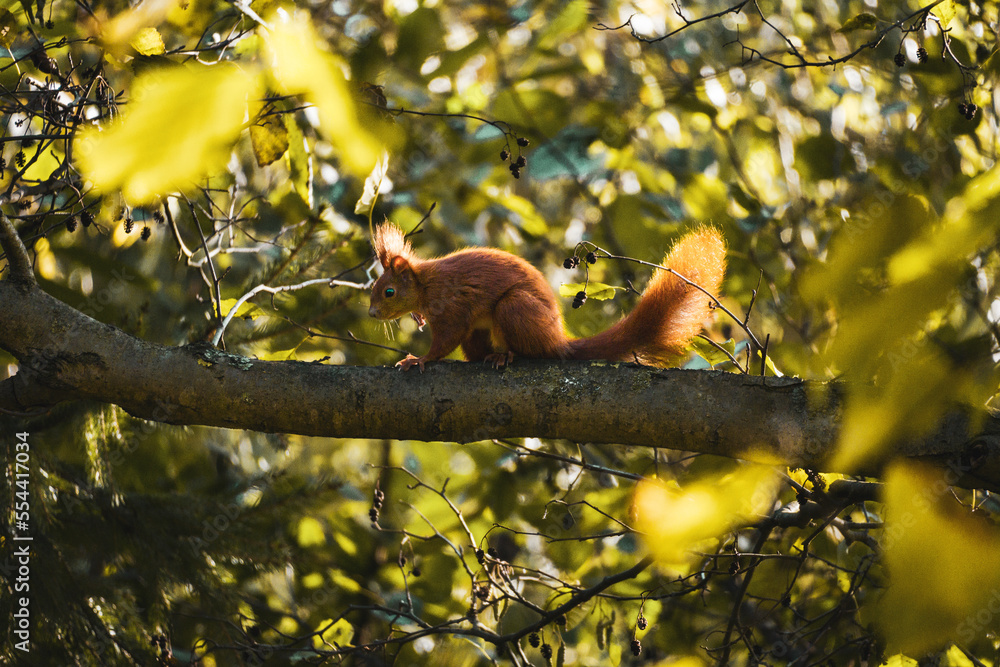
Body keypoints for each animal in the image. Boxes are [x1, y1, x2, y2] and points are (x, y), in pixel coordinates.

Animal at [368, 222, 726, 371]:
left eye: (389, 292)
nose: (371, 314)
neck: (425, 285)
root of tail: (558, 341)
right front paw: (417, 322)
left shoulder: (451, 307)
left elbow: (445, 341)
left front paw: (420, 359)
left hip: (514, 308)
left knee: (530, 351)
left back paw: (506, 356)